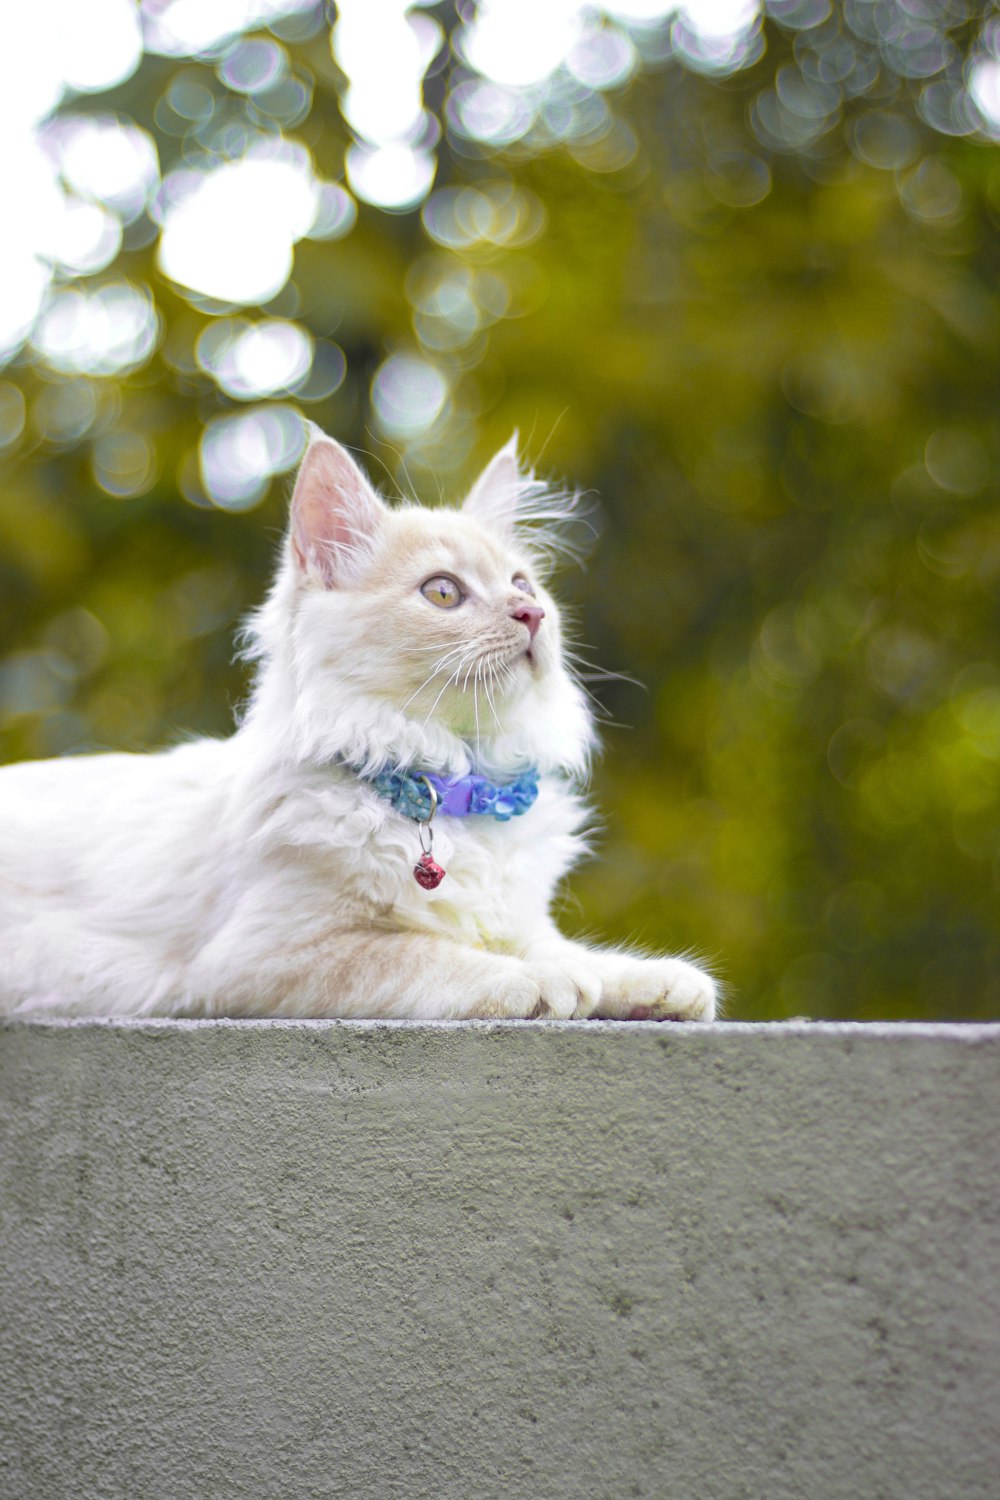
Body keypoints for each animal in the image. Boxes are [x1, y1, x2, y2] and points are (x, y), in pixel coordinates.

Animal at [0, 429, 719, 1026]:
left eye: (524, 585)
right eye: (443, 593)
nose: (531, 615)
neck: (448, 784)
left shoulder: (521, 921)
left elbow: (571, 951)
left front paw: (656, 984)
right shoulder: (265, 958)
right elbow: (429, 954)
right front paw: (543, 985)